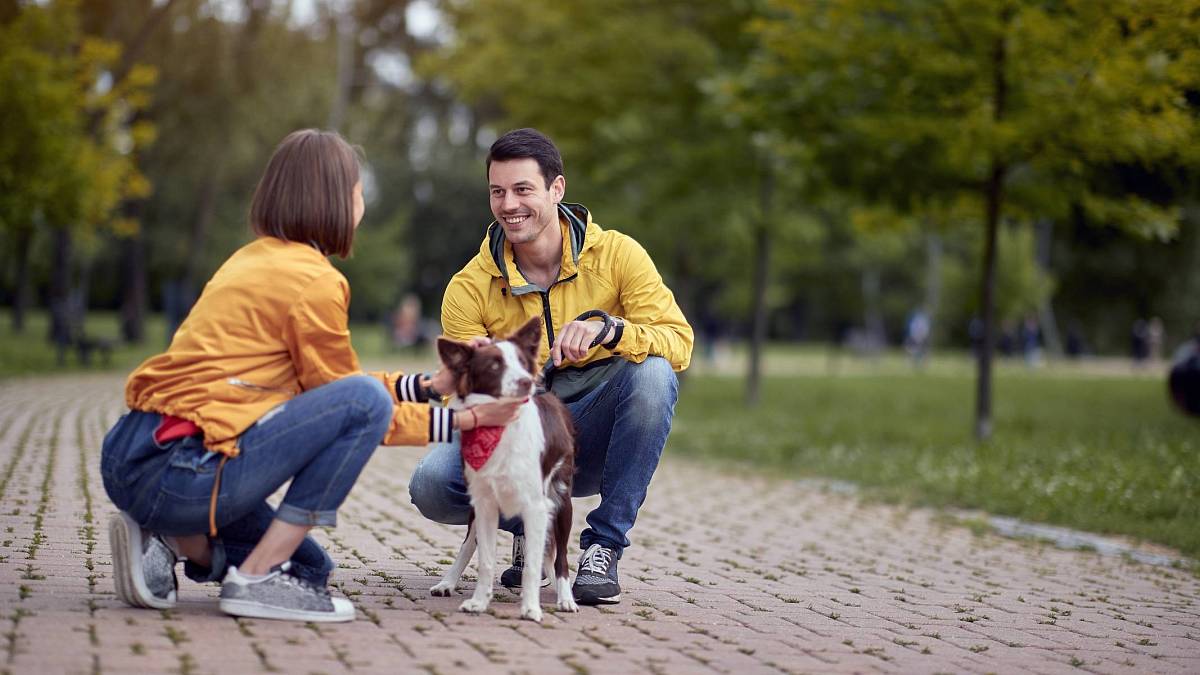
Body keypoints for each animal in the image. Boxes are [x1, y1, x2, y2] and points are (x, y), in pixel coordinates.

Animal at [432, 314, 580, 619]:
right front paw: (479, 602)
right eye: (494, 366)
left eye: (523, 362)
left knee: (560, 556)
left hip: (561, 501)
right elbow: (485, 559)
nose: (526, 381)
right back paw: (448, 582)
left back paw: (566, 599)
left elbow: (534, 564)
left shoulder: (537, 505)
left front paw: (531, 609)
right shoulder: (485, 503)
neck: (500, 428)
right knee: (468, 544)